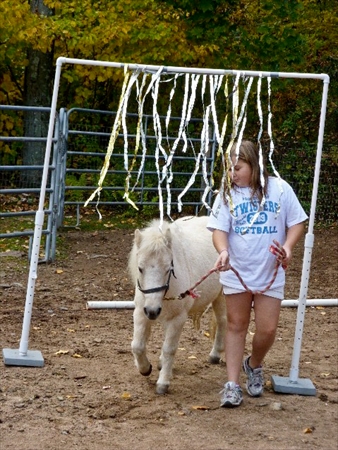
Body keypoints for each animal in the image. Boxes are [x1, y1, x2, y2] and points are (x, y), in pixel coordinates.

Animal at [128, 214, 226, 394]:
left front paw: (163, 383)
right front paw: (145, 368)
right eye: (140, 268)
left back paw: (215, 354)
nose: (152, 311)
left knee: (222, 321)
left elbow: (169, 349)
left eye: (169, 268)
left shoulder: (178, 319)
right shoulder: (140, 312)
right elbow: (137, 345)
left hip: (221, 296)